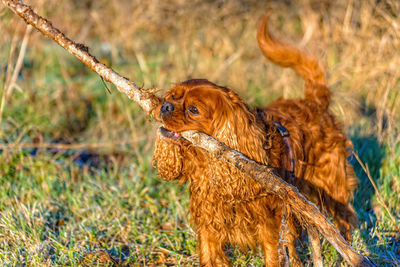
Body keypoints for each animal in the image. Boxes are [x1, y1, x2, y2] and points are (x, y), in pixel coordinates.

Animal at [152, 14, 358, 266]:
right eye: (172, 96)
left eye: (193, 109)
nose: (165, 106)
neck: (211, 166)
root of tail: (314, 102)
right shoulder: (209, 228)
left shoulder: (271, 230)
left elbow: (274, 256)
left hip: (333, 188)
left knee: (344, 222)